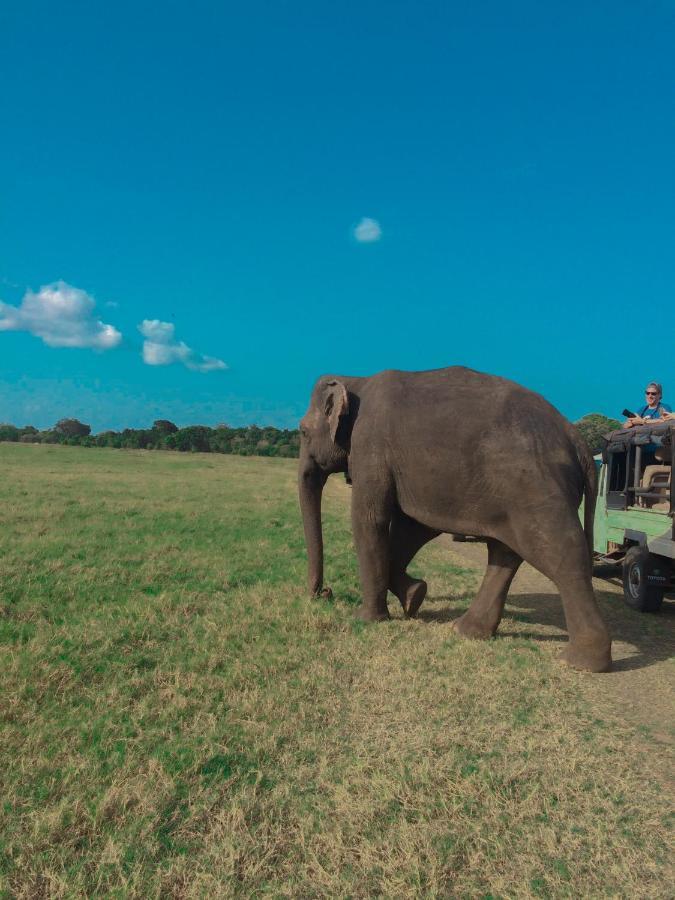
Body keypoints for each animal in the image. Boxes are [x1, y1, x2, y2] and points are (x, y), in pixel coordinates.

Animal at [298, 362, 616, 672]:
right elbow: (413, 526)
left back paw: (579, 662)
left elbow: (370, 519)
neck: (357, 380)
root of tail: (579, 442)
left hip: (538, 489)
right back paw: (466, 631)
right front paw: (415, 596)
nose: (325, 593)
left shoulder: (369, 445)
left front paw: (366, 618)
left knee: (560, 553)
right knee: (505, 554)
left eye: (301, 432)